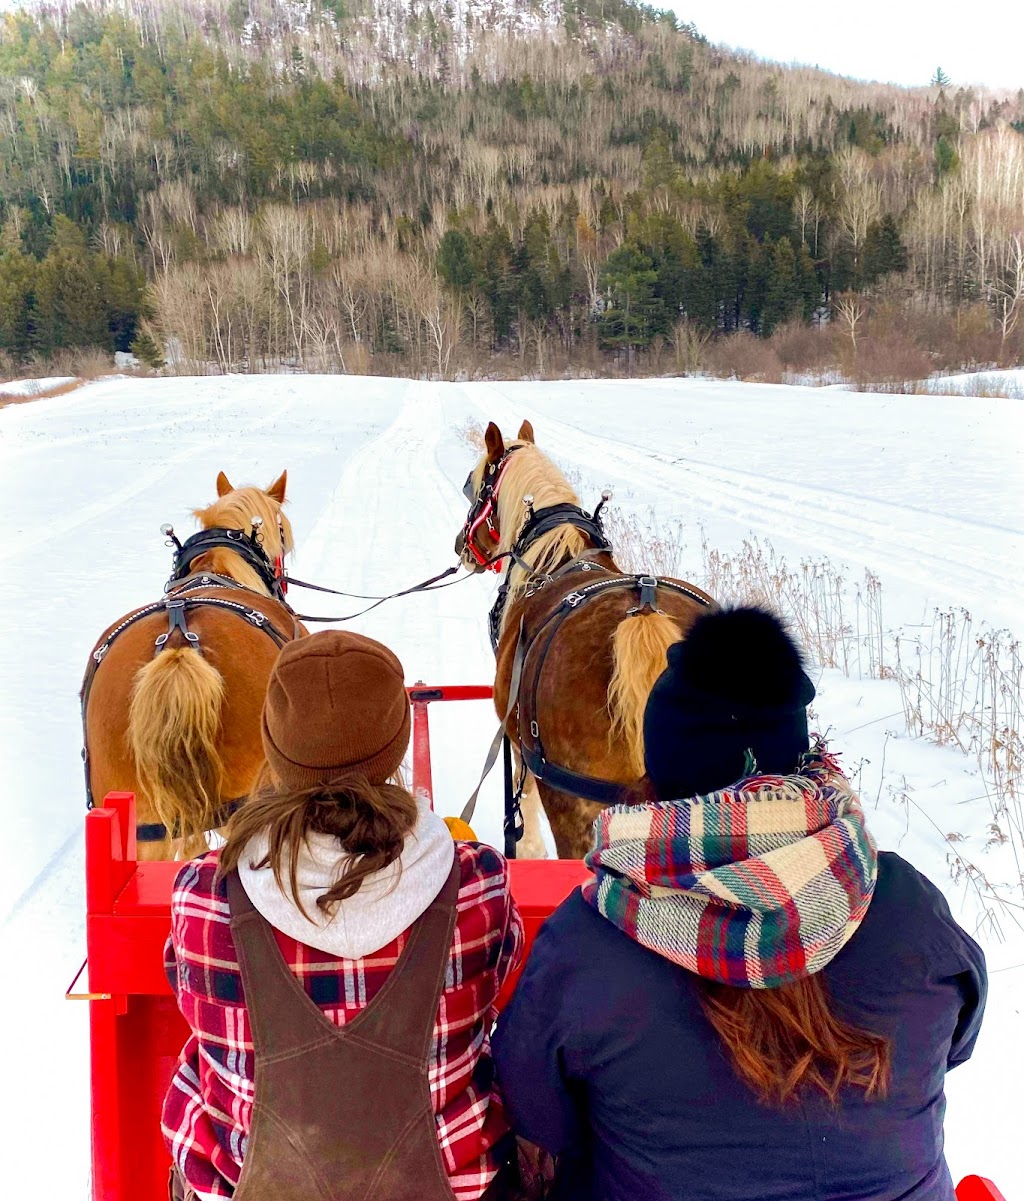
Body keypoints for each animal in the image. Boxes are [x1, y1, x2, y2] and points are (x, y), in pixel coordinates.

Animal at [456, 422, 710, 855]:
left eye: (471, 488)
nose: (461, 547)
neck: (555, 559)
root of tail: (645, 617)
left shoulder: (520, 748)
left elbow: (522, 798)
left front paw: (528, 850)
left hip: (570, 803)